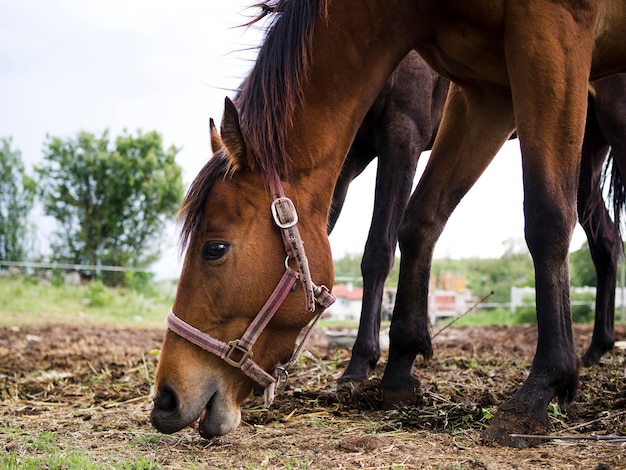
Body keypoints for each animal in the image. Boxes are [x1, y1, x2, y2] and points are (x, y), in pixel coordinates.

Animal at [332, 55, 624, 384]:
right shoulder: (346, 155)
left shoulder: (402, 134)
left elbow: (378, 252)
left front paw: (360, 361)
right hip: (583, 155)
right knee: (607, 243)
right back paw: (596, 348)